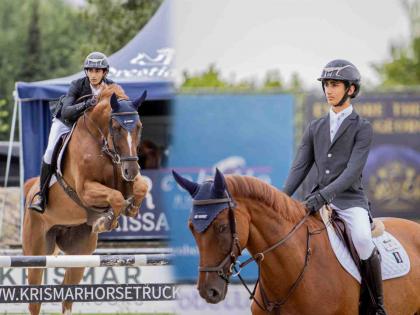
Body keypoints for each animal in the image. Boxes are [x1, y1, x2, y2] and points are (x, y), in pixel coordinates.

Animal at [23, 84, 149, 315]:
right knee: (34, 299)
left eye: (139, 126)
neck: (101, 142)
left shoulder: (124, 180)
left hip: (79, 254)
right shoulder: (85, 189)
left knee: (67, 294)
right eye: (116, 127)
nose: (131, 169)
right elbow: (116, 197)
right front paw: (106, 222)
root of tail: (30, 190)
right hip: (36, 252)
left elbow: (140, 188)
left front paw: (131, 210)